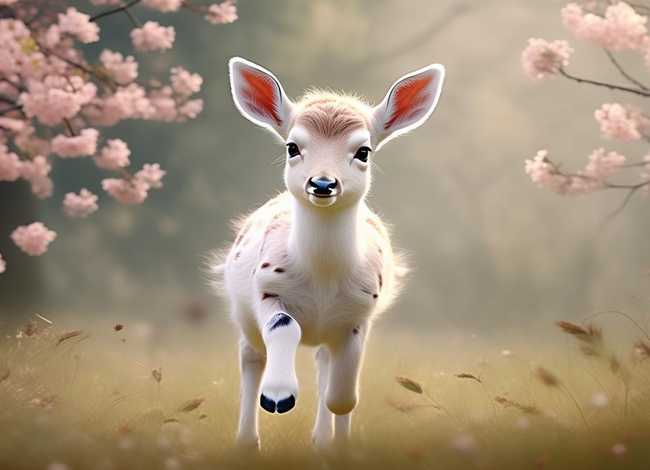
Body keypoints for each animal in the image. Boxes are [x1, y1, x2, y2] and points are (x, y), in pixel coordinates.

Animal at [212, 57, 445, 450]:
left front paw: (335, 429)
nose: (322, 183)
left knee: (322, 361)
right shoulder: (266, 286)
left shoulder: (361, 311)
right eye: (292, 147)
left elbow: (343, 392)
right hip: (242, 311)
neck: (322, 279)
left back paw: (326, 441)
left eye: (363, 151)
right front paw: (279, 395)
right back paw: (247, 441)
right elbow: (283, 326)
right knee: (251, 356)